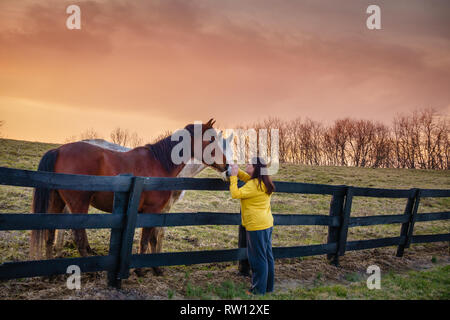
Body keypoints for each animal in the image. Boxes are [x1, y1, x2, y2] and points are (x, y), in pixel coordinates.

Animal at [29, 119, 230, 276]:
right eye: (211, 140)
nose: (227, 166)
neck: (159, 163)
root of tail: (59, 150)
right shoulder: (152, 210)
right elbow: (146, 239)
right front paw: (141, 270)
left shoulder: (156, 212)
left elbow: (153, 238)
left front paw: (155, 268)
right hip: (78, 205)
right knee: (78, 237)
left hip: (57, 202)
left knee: (49, 234)